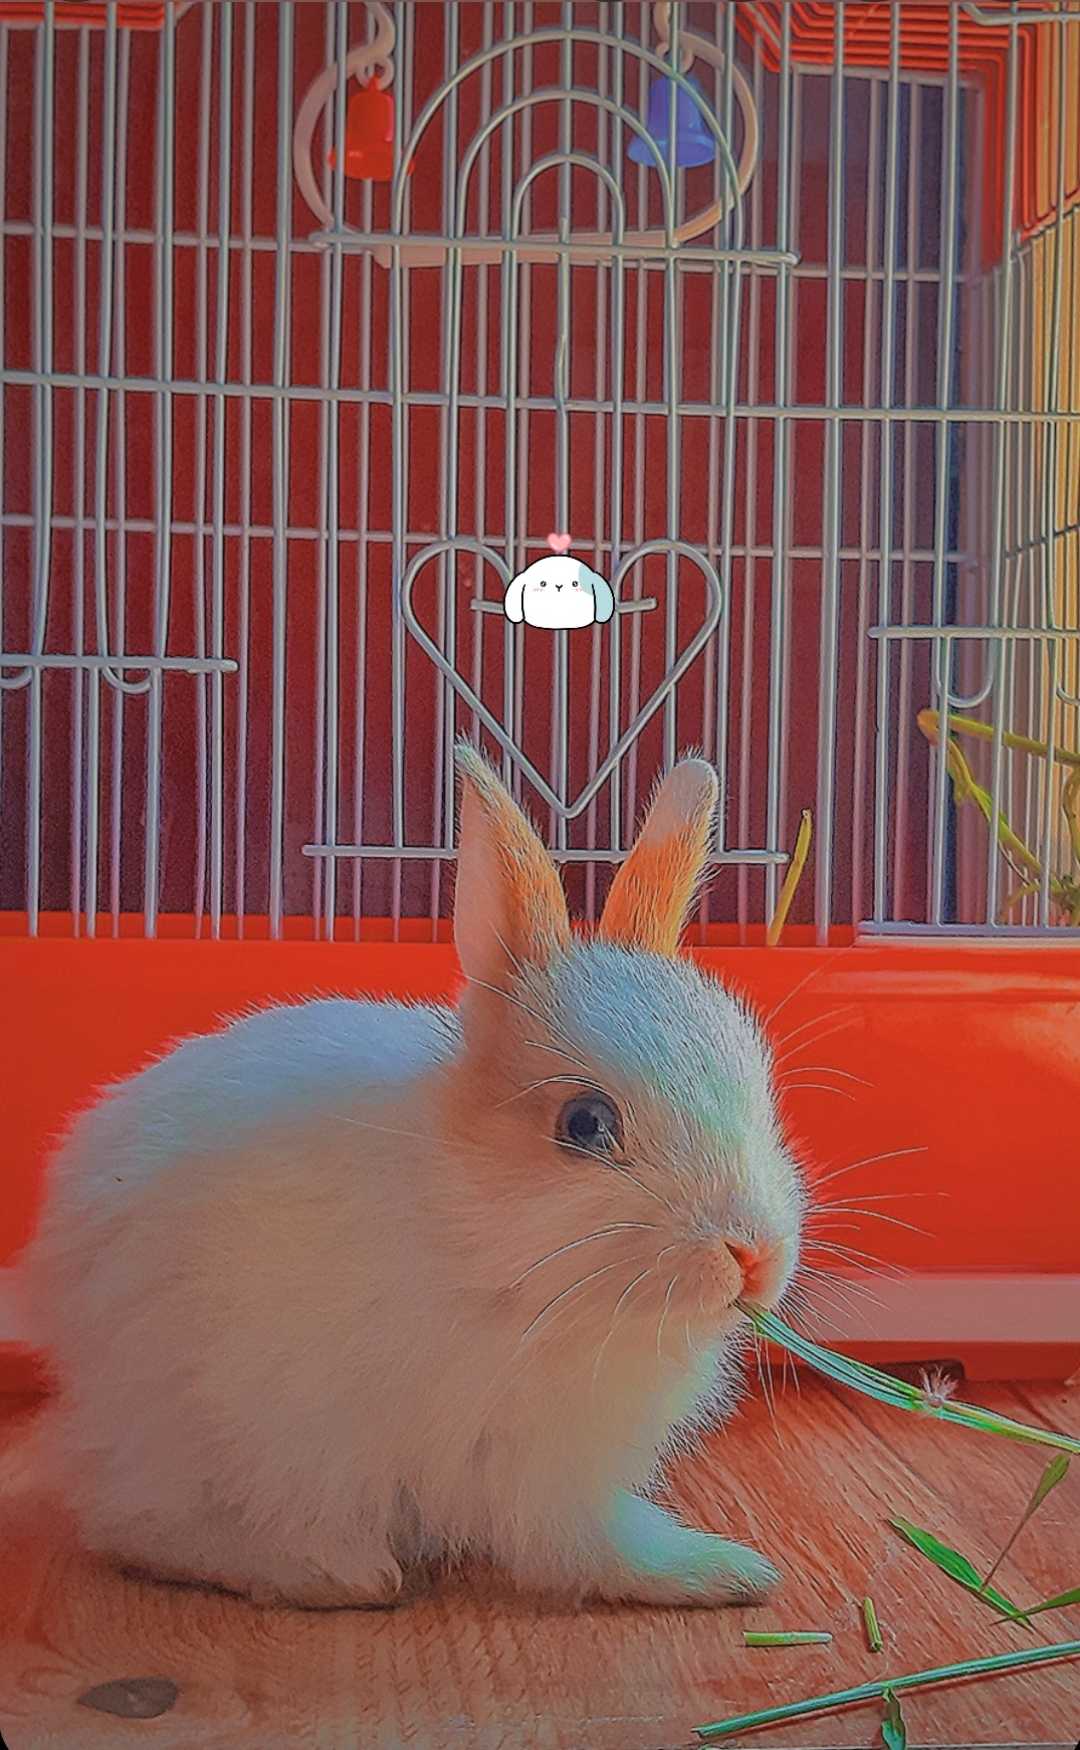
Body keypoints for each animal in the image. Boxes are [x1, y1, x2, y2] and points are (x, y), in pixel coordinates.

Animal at [9, 743, 805, 1611]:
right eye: (586, 1124)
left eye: (759, 1086)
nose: (753, 1253)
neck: (487, 1254)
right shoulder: (542, 1475)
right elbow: (591, 1549)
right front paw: (728, 1572)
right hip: (220, 1435)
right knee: (131, 1522)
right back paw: (342, 1573)